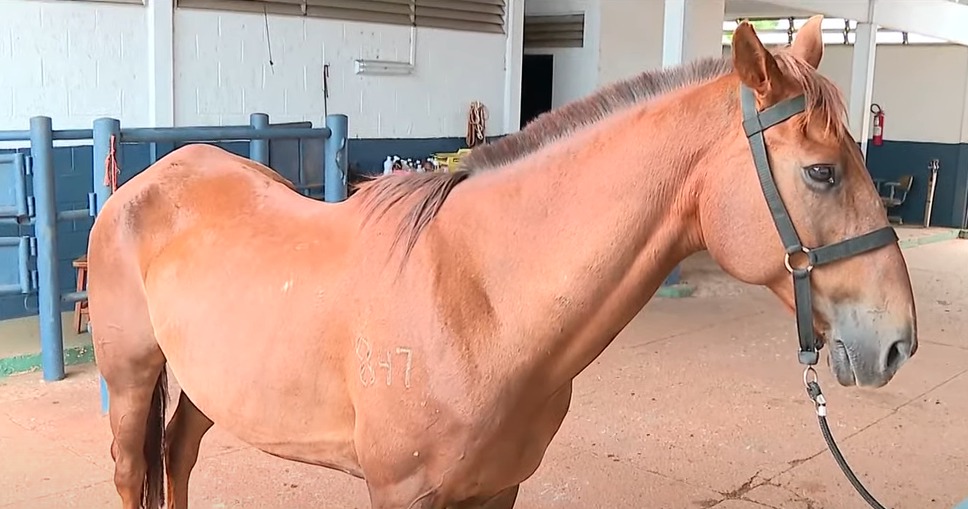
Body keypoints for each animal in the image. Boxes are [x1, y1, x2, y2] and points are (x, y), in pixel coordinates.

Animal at [87, 15, 920, 508]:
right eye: (822, 172)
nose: (896, 342)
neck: (479, 301)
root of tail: (143, 181)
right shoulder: (400, 494)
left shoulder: (498, 489)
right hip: (129, 380)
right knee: (133, 469)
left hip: (207, 383)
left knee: (179, 456)